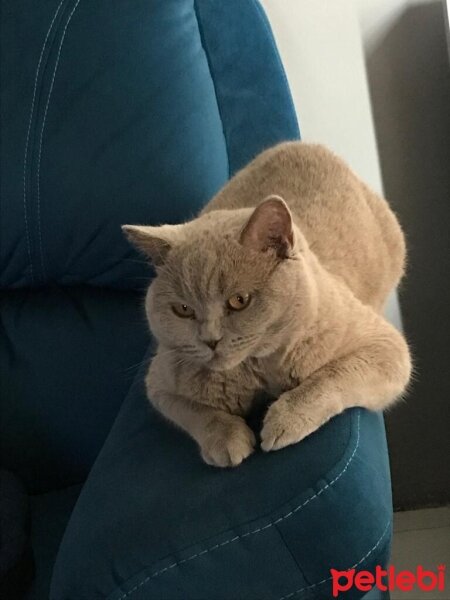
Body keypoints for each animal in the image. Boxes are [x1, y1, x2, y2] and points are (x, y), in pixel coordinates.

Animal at [122, 142, 412, 468]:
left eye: (239, 300)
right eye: (183, 310)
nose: (210, 340)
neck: (259, 369)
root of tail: (306, 144)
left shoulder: (385, 348)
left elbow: (329, 377)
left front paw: (284, 420)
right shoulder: (161, 380)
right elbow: (194, 411)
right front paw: (227, 440)